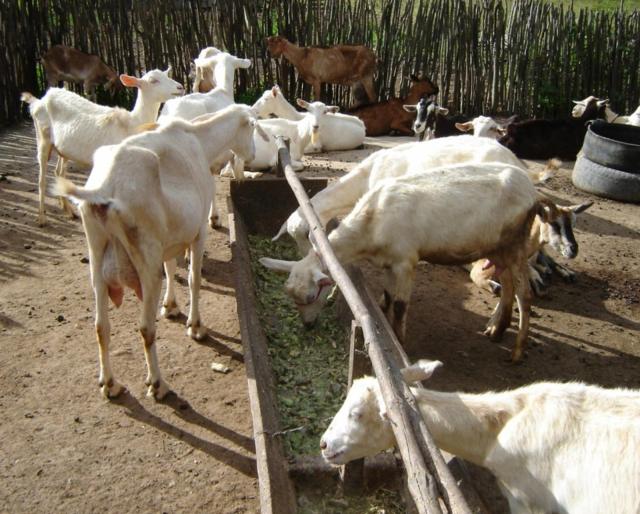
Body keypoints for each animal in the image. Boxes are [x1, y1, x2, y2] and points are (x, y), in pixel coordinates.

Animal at [21, 67, 184, 223]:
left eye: (167, 74)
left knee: (58, 173)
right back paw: (42, 218)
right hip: (42, 137)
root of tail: (40, 100)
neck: (132, 124)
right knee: (41, 178)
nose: (180, 87)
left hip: (63, 150)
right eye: (153, 81)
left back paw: (69, 211)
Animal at [260, 161, 576, 360]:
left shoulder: (405, 262)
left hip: (515, 245)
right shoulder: (389, 263)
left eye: (313, 294)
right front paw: (385, 322)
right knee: (509, 287)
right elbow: (387, 295)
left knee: (523, 294)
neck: (369, 226)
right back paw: (497, 331)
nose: (307, 326)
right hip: (498, 247)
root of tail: (532, 191)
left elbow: (400, 306)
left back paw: (517, 350)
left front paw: (399, 341)